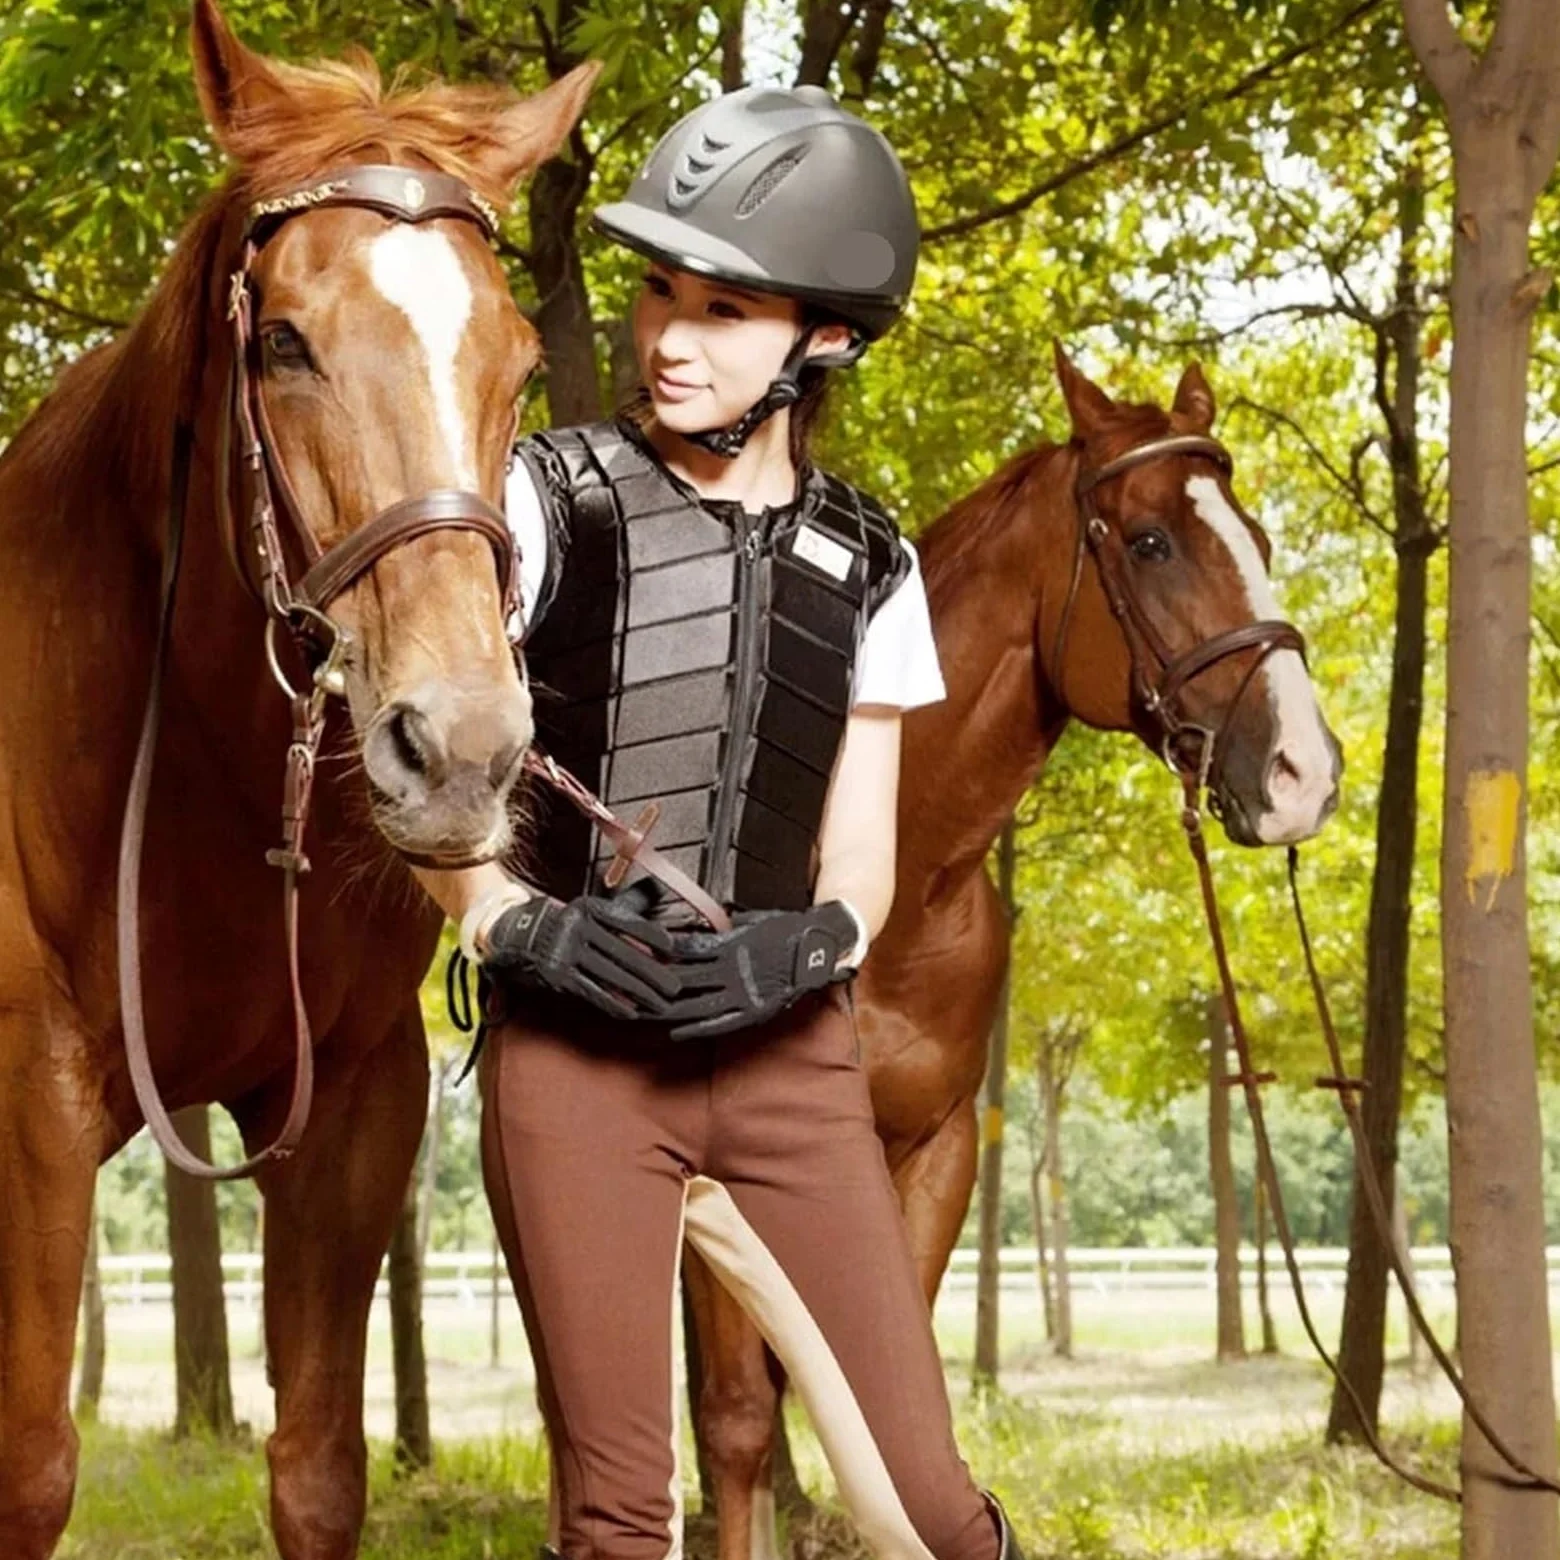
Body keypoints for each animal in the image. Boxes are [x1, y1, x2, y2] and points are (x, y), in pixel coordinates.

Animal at [0, 5, 595, 1556]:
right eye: (281, 341)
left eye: (518, 363)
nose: (461, 749)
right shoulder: (28, 1105)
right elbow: (29, 1466)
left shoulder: (349, 1108)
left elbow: (320, 1466)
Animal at [684, 346, 1344, 1560]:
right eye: (1150, 541)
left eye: (1262, 541)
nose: (1303, 773)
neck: (891, 883)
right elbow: (742, 1423)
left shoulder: (935, 1152)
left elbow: (890, 1427)